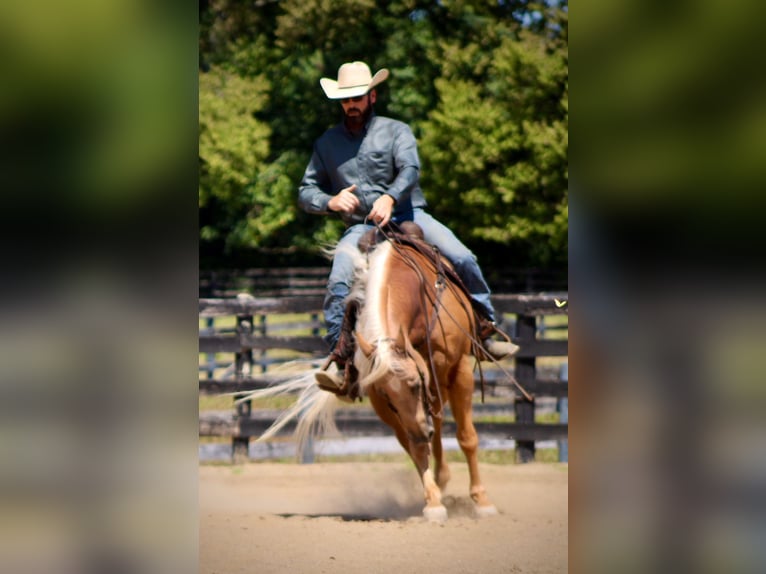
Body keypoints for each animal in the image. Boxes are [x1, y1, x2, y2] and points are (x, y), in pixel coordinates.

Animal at [239, 228, 498, 521]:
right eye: (389, 396)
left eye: (414, 385)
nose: (421, 433)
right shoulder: (380, 397)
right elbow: (417, 447)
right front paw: (433, 503)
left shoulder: (459, 368)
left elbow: (467, 437)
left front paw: (482, 501)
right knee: (427, 431)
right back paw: (439, 481)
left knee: (442, 424)